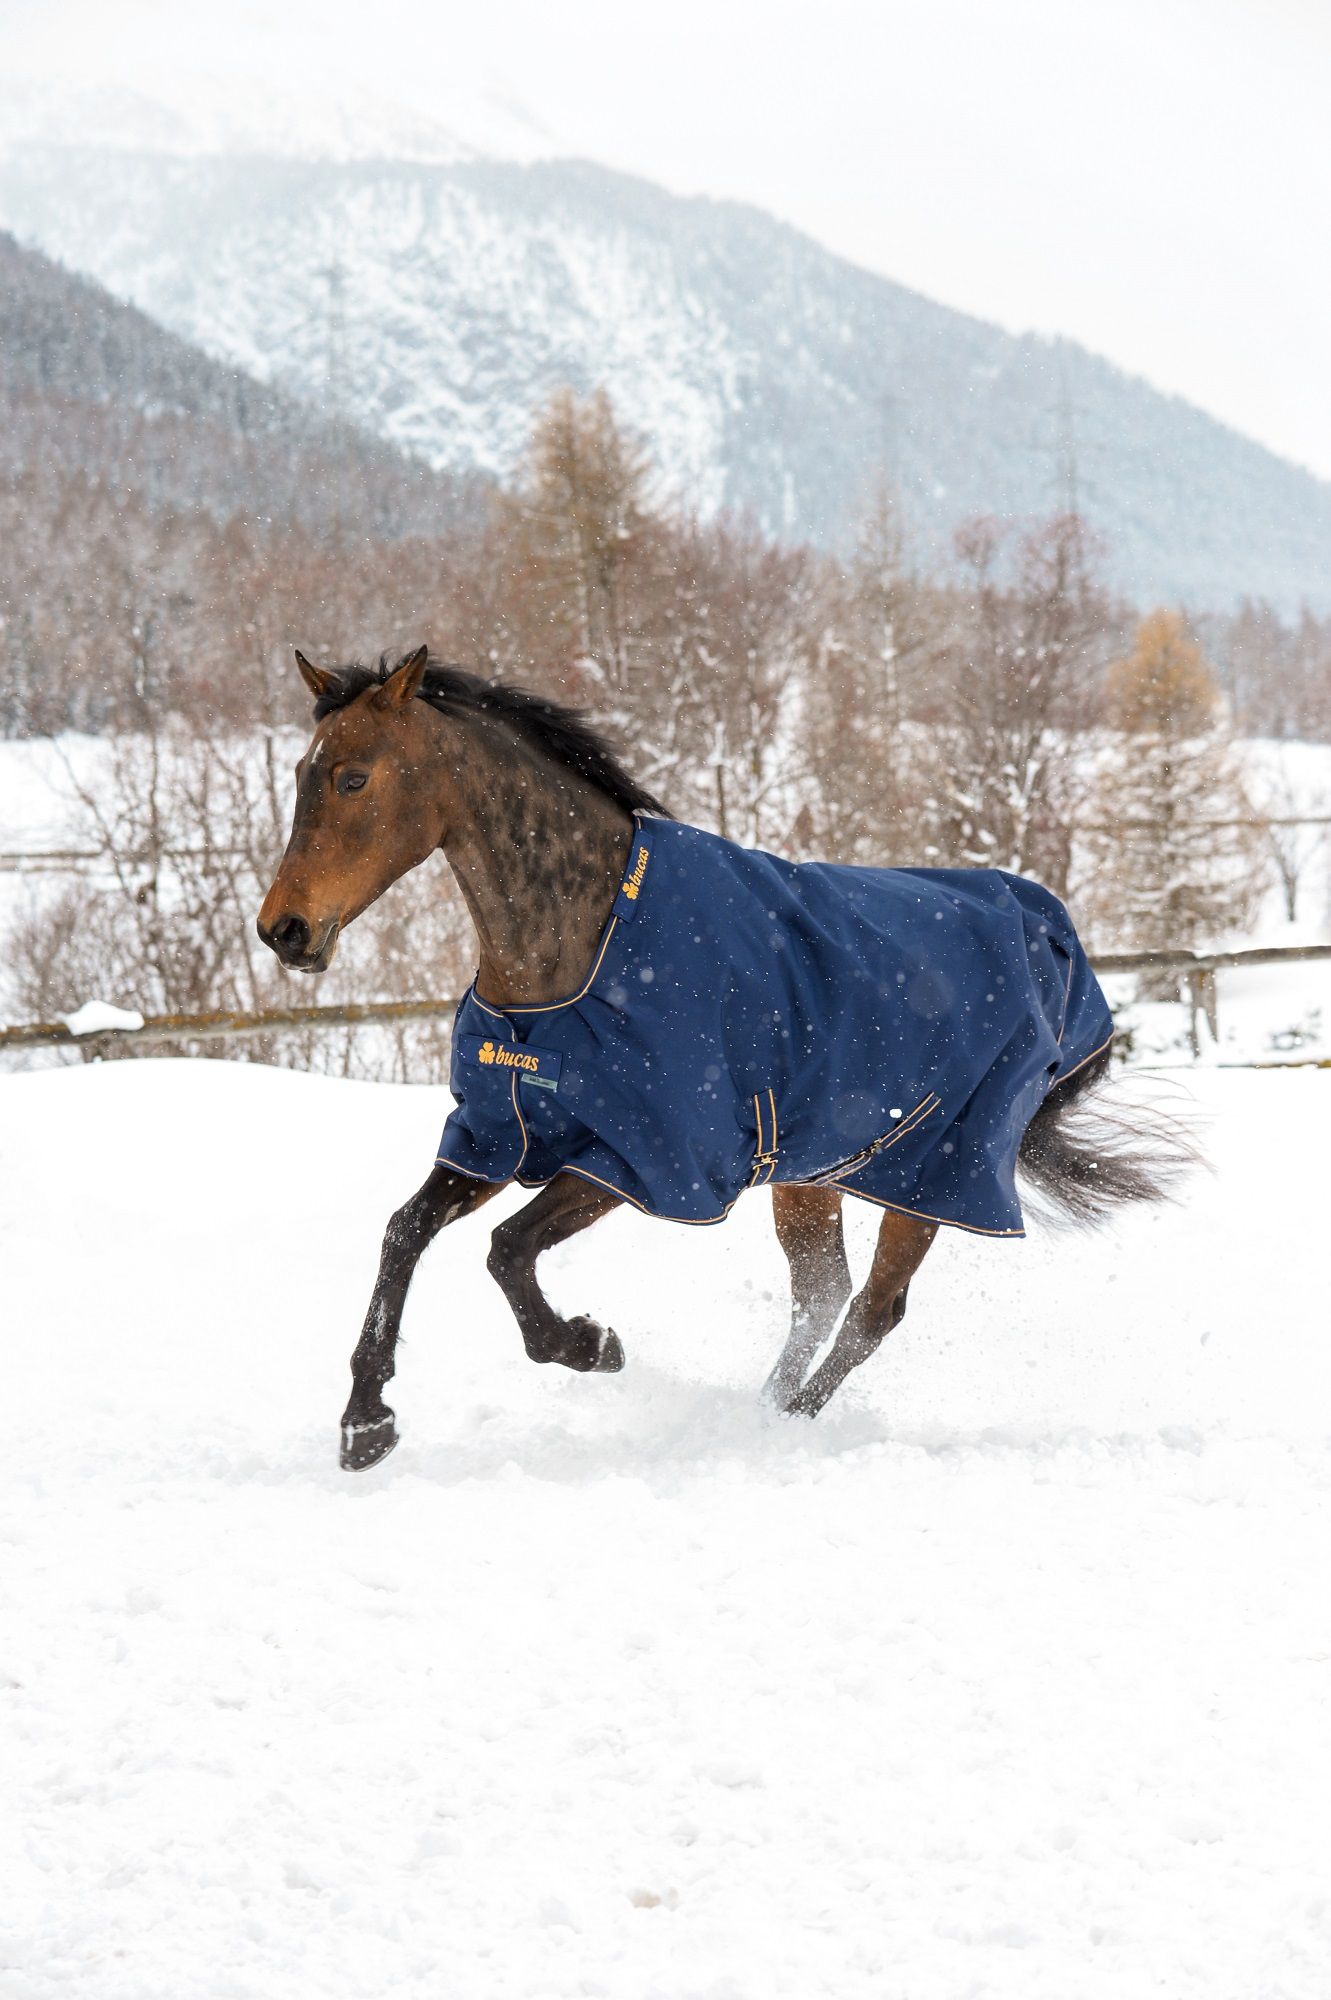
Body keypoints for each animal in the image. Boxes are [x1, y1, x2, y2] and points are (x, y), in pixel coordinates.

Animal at [258, 645, 1184, 1471]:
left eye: (354, 779)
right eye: (303, 772)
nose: (284, 930)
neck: (578, 952)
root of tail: (1054, 943)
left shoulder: (643, 1158)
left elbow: (507, 1250)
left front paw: (591, 1344)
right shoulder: (499, 1134)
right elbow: (404, 1233)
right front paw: (364, 1424)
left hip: (932, 1175)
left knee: (871, 1311)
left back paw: (781, 1428)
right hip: (811, 1173)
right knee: (820, 1298)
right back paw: (762, 1411)